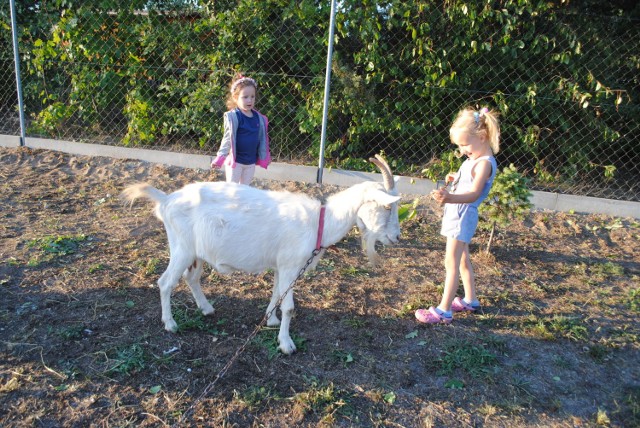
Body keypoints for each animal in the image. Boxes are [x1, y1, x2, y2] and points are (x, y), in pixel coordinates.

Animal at [122, 155, 400, 352]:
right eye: (388, 207)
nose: (396, 237)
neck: (319, 222)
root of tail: (166, 200)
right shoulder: (290, 266)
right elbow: (289, 306)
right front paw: (286, 344)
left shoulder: (281, 266)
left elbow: (276, 294)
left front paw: (270, 320)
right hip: (181, 247)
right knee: (165, 282)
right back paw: (170, 324)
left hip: (196, 252)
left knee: (191, 278)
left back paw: (207, 308)